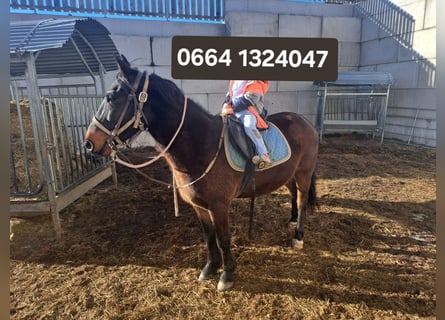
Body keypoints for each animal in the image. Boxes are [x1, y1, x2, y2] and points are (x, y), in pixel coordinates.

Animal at [84, 55, 320, 292]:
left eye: (112, 97)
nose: (89, 143)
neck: (202, 144)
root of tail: (305, 121)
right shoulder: (199, 205)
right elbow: (209, 237)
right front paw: (210, 268)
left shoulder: (219, 205)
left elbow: (223, 238)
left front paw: (227, 274)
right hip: (288, 174)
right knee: (293, 193)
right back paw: (292, 220)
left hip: (304, 173)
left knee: (301, 200)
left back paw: (298, 236)